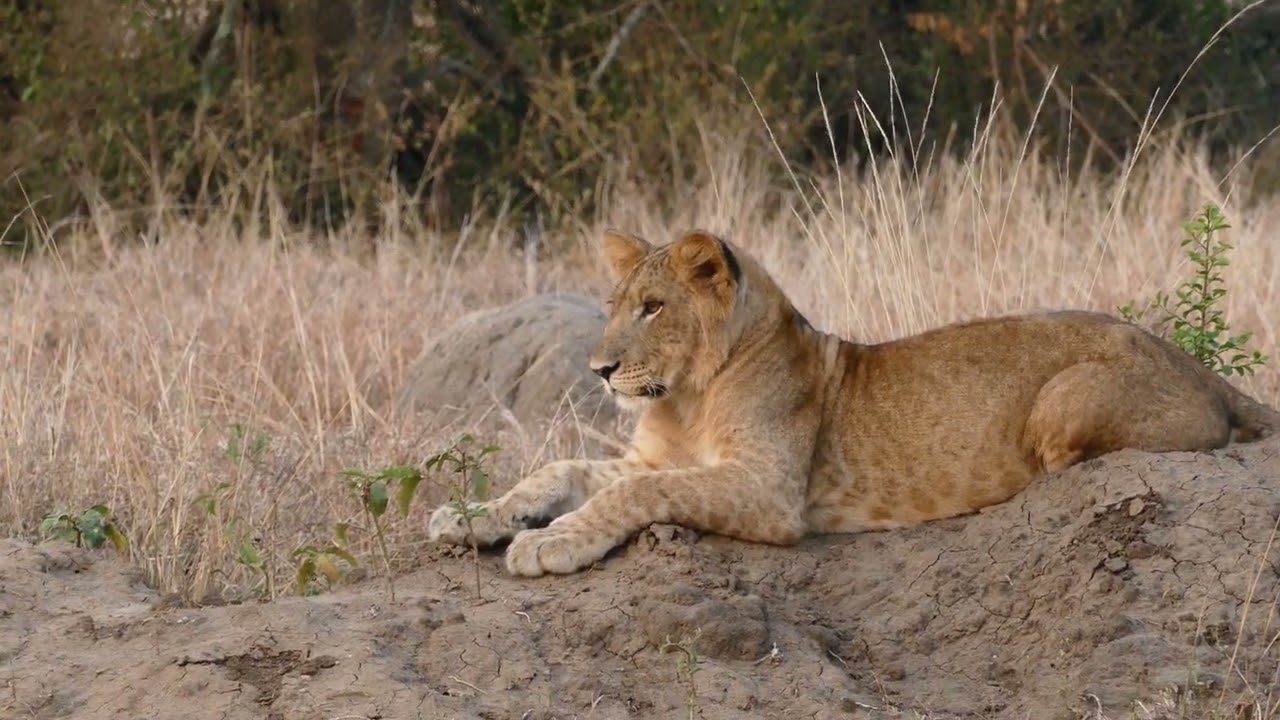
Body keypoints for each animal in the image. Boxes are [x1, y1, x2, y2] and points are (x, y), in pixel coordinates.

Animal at [428, 229, 1280, 577]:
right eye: (613, 306)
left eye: (653, 307)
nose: (600, 370)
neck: (688, 397)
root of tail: (1202, 369)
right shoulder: (650, 458)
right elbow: (560, 472)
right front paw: (468, 516)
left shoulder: (769, 493)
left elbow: (633, 495)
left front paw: (547, 544)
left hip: (1063, 401)